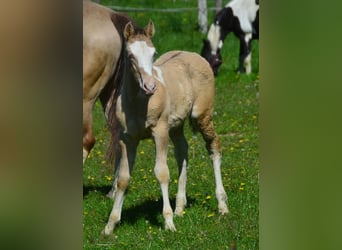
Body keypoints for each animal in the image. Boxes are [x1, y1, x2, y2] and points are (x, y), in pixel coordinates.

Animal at [103, 20, 228, 236]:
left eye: (153, 53)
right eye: (130, 55)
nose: (150, 86)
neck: (138, 103)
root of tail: (196, 55)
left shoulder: (160, 132)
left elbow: (161, 173)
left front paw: (168, 222)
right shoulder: (127, 139)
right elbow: (123, 178)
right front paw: (110, 225)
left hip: (201, 115)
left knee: (214, 147)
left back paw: (222, 205)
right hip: (176, 124)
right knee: (182, 151)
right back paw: (180, 207)